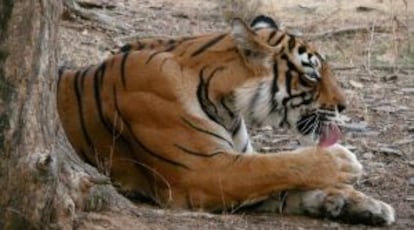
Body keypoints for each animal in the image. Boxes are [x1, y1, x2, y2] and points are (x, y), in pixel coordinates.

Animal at [57, 14, 394, 225]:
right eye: (311, 75)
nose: (344, 106)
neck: (229, 107)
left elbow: (291, 184)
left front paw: (366, 205)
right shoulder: (202, 171)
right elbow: (276, 164)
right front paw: (343, 161)